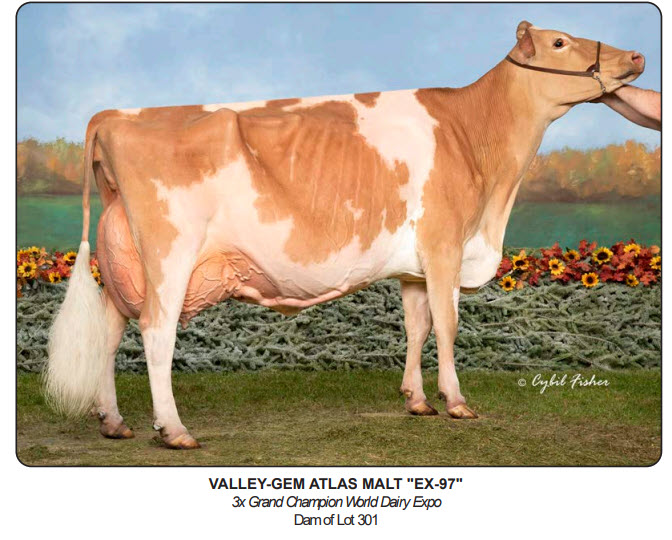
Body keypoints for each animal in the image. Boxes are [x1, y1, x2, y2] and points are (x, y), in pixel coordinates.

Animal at [45, 21, 644, 449]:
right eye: (560, 41)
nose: (637, 57)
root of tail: (114, 115)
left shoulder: (413, 265)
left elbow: (417, 326)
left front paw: (416, 400)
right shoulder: (445, 245)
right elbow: (448, 326)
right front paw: (455, 402)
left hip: (125, 261)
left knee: (110, 330)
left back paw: (114, 422)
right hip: (169, 255)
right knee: (156, 332)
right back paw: (173, 430)